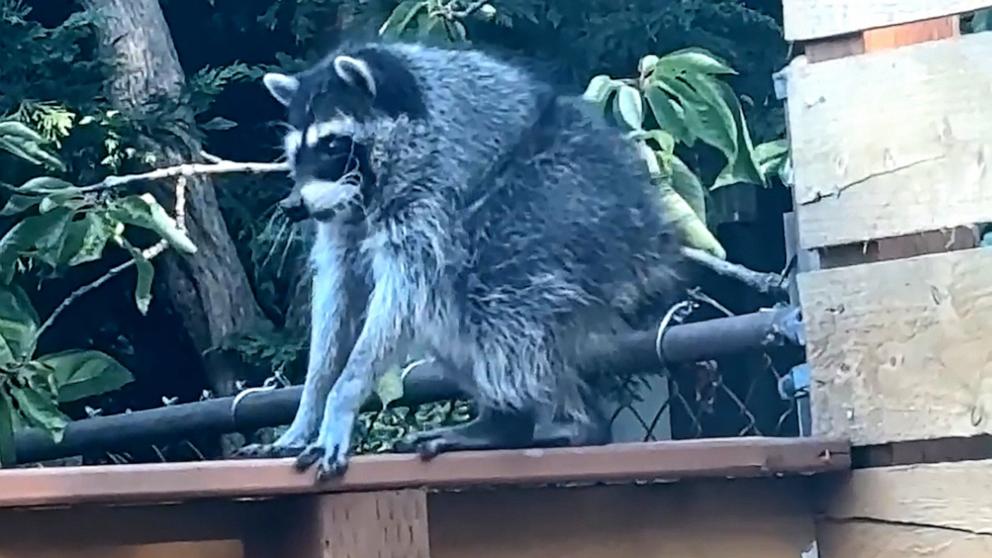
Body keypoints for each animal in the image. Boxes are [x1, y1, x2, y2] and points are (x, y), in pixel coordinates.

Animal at [236, 40, 685, 479]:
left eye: (331, 145)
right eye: (294, 153)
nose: (293, 206)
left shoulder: (431, 193)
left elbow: (400, 296)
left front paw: (344, 395)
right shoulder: (343, 220)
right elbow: (338, 294)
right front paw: (310, 407)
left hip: (563, 209)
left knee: (486, 302)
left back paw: (530, 423)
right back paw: (539, 423)